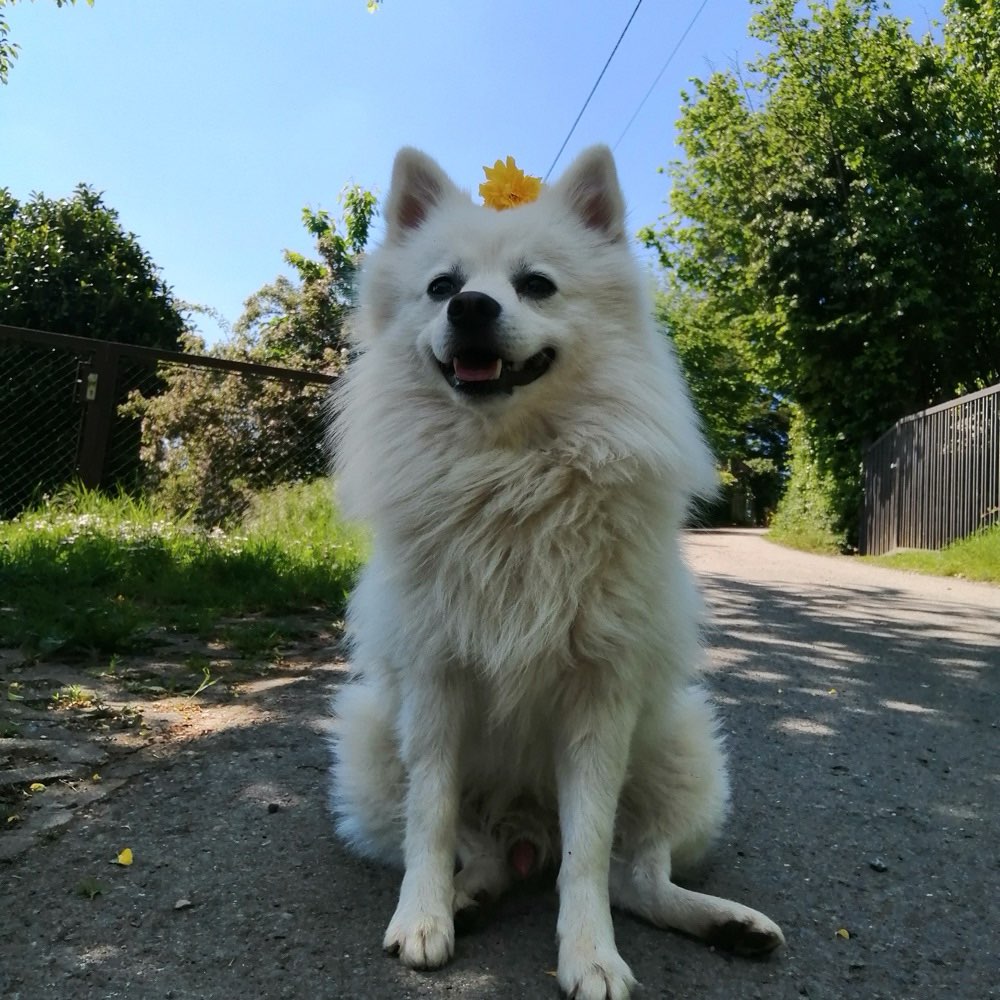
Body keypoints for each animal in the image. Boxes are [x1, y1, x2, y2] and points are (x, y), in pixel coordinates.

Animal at [328, 143, 780, 1000]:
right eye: (441, 286)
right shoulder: (435, 685)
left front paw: (590, 955)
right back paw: (463, 898)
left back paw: (728, 923)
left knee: (637, 874)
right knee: (479, 853)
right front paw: (422, 918)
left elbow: (589, 854)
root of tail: (524, 826)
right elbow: (431, 819)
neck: (511, 474)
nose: (470, 308)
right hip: (372, 740)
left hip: (683, 754)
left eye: (536, 284)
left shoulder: (599, 700)